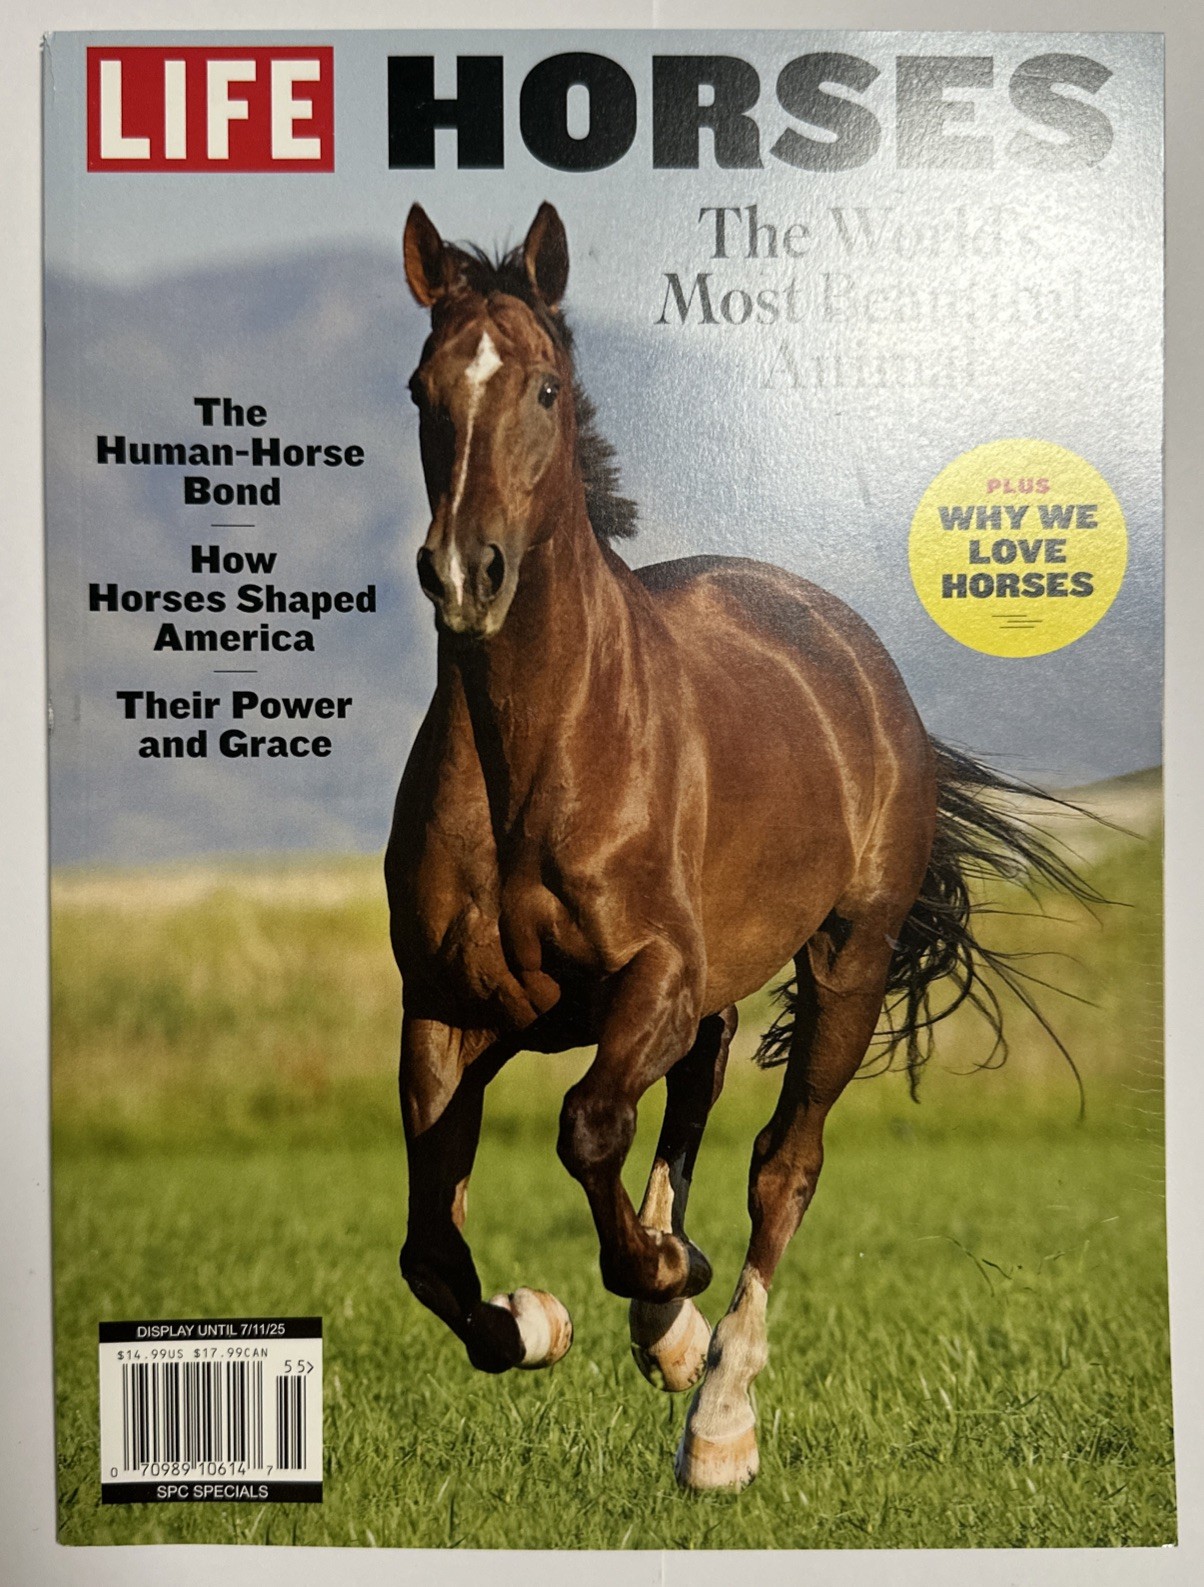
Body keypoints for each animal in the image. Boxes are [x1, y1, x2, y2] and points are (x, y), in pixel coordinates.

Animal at [385, 201, 1080, 1491]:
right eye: (421, 388)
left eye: (544, 388)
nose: (466, 574)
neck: (533, 755)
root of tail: (855, 652)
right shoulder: (447, 1012)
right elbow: (428, 1252)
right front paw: (543, 1322)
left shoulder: (650, 980)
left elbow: (588, 1130)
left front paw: (667, 1308)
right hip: (697, 1000)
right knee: (695, 1107)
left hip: (845, 966)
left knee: (779, 1167)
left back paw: (715, 1413)